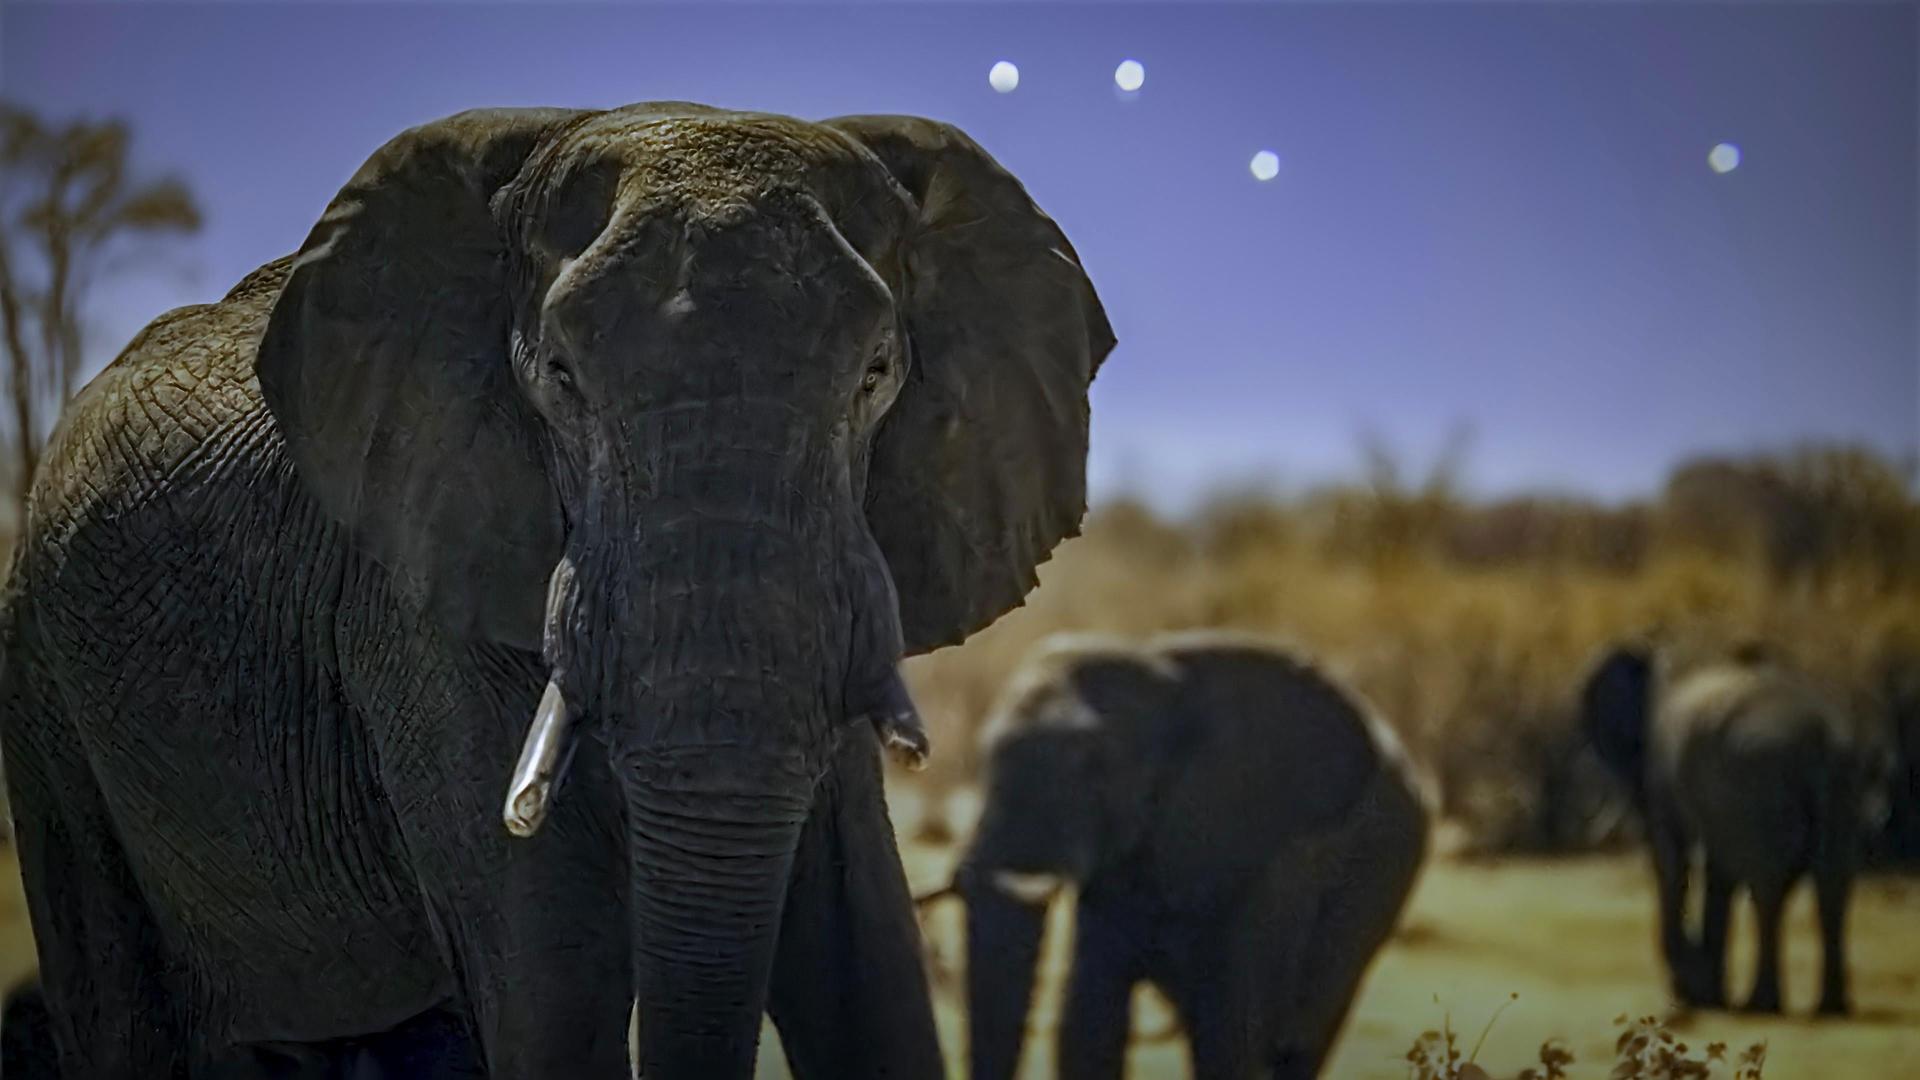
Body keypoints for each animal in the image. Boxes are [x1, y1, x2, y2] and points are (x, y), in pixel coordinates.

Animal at [0, 103, 1113, 1078]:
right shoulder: (413, 610)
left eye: (876, 375)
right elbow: (555, 997)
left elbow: (866, 969)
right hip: (45, 701)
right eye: (561, 379)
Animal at [931, 632, 1431, 1080]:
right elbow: (1089, 1024)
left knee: (1298, 1043)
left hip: (1375, 893)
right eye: (982, 753)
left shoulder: (1262, 854)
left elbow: (1230, 1041)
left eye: (1094, 767)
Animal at [1581, 641, 1893, 1015]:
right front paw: (1707, 994)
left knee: (1767, 887)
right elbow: (1718, 870)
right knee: (1833, 885)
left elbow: (1673, 862)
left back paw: (1761, 1004)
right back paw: (1830, 1007)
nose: (1682, 992)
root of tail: (1825, 740)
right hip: (1841, 787)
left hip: (1760, 779)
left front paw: (1699, 992)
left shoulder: (1664, 774)